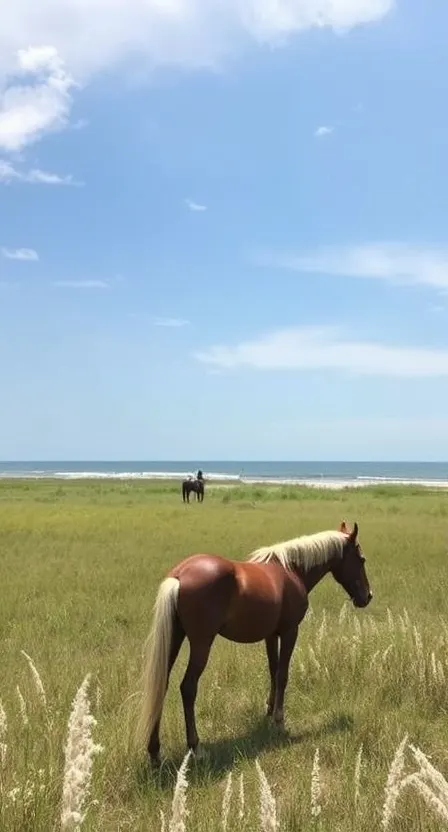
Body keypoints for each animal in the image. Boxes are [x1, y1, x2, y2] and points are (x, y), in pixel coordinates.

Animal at [137, 524, 374, 764]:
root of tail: (179, 574)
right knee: (188, 687)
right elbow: (283, 674)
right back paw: (196, 747)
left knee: (162, 684)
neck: (291, 570)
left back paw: (155, 752)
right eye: (361, 559)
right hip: (201, 644)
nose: (367, 596)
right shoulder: (290, 632)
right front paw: (279, 720)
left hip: (174, 639)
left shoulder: (271, 635)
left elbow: (273, 671)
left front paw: (269, 711)